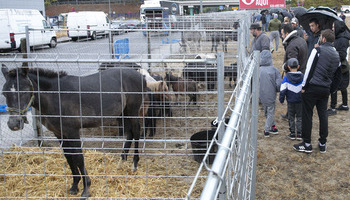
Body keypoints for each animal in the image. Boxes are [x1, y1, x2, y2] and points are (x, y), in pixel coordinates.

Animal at [1, 65, 146, 199]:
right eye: (4, 93)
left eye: (25, 91)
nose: (14, 124)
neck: (56, 97)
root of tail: (139, 75)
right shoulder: (59, 134)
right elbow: (69, 156)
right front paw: (74, 186)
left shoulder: (72, 132)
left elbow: (78, 157)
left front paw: (86, 189)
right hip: (123, 112)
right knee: (130, 133)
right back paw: (122, 161)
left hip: (132, 110)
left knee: (136, 132)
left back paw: (134, 164)